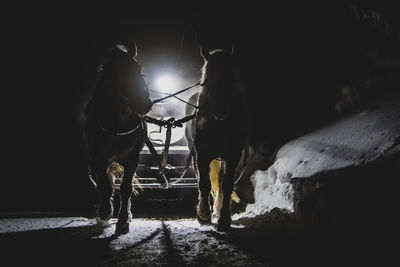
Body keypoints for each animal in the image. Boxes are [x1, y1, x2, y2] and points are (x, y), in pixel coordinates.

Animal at [85, 40, 153, 236]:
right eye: (116, 72)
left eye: (138, 68)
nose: (145, 103)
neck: (117, 125)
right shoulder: (97, 158)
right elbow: (105, 186)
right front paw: (105, 212)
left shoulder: (132, 159)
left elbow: (126, 188)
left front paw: (123, 220)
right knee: (102, 183)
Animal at [187, 47, 248, 231]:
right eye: (207, 79)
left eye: (232, 78)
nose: (220, 112)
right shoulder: (202, 154)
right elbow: (204, 183)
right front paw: (203, 214)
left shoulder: (233, 155)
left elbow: (226, 185)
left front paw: (224, 218)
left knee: (220, 182)